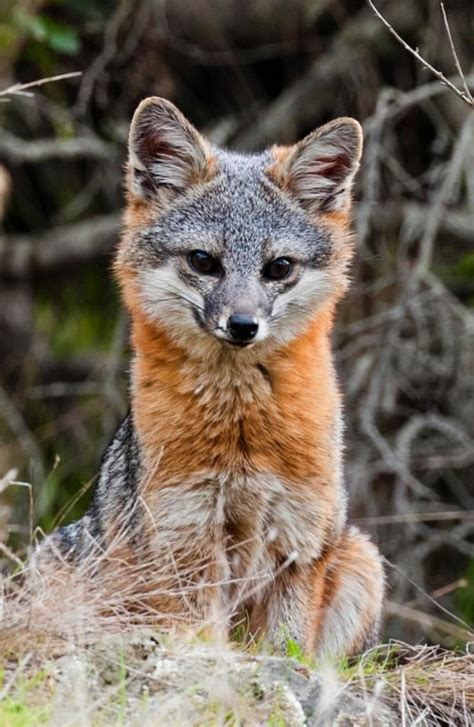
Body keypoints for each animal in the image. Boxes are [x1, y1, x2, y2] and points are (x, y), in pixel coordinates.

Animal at [36, 96, 386, 660]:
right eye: (203, 261)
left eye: (278, 267)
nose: (242, 325)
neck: (243, 432)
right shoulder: (186, 535)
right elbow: (203, 640)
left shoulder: (300, 538)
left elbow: (285, 648)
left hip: (360, 559)